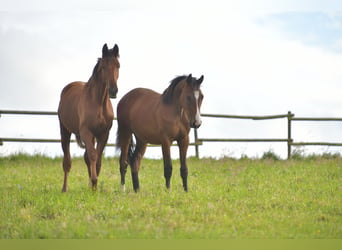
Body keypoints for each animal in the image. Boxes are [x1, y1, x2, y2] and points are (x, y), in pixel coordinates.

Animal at [59, 43, 121, 191]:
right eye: (103, 67)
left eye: (118, 65)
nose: (113, 91)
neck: (98, 102)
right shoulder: (86, 132)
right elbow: (93, 155)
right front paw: (94, 181)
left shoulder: (103, 134)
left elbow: (97, 158)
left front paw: (94, 187)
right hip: (65, 131)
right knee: (67, 161)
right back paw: (64, 188)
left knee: (86, 157)